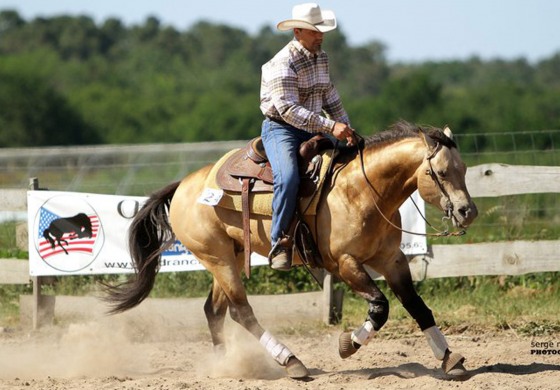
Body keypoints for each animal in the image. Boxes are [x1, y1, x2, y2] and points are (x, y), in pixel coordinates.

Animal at [104, 120, 476, 380]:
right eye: (441, 171)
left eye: (464, 169)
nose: (467, 211)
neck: (362, 191)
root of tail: (183, 185)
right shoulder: (344, 263)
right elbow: (381, 307)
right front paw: (348, 345)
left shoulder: (391, 259)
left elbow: (417, 306)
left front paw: (449, 359)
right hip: (217, 257)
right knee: (241, 312)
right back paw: (291, 361)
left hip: (230, 255)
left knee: (214, 310)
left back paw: (224, 365)